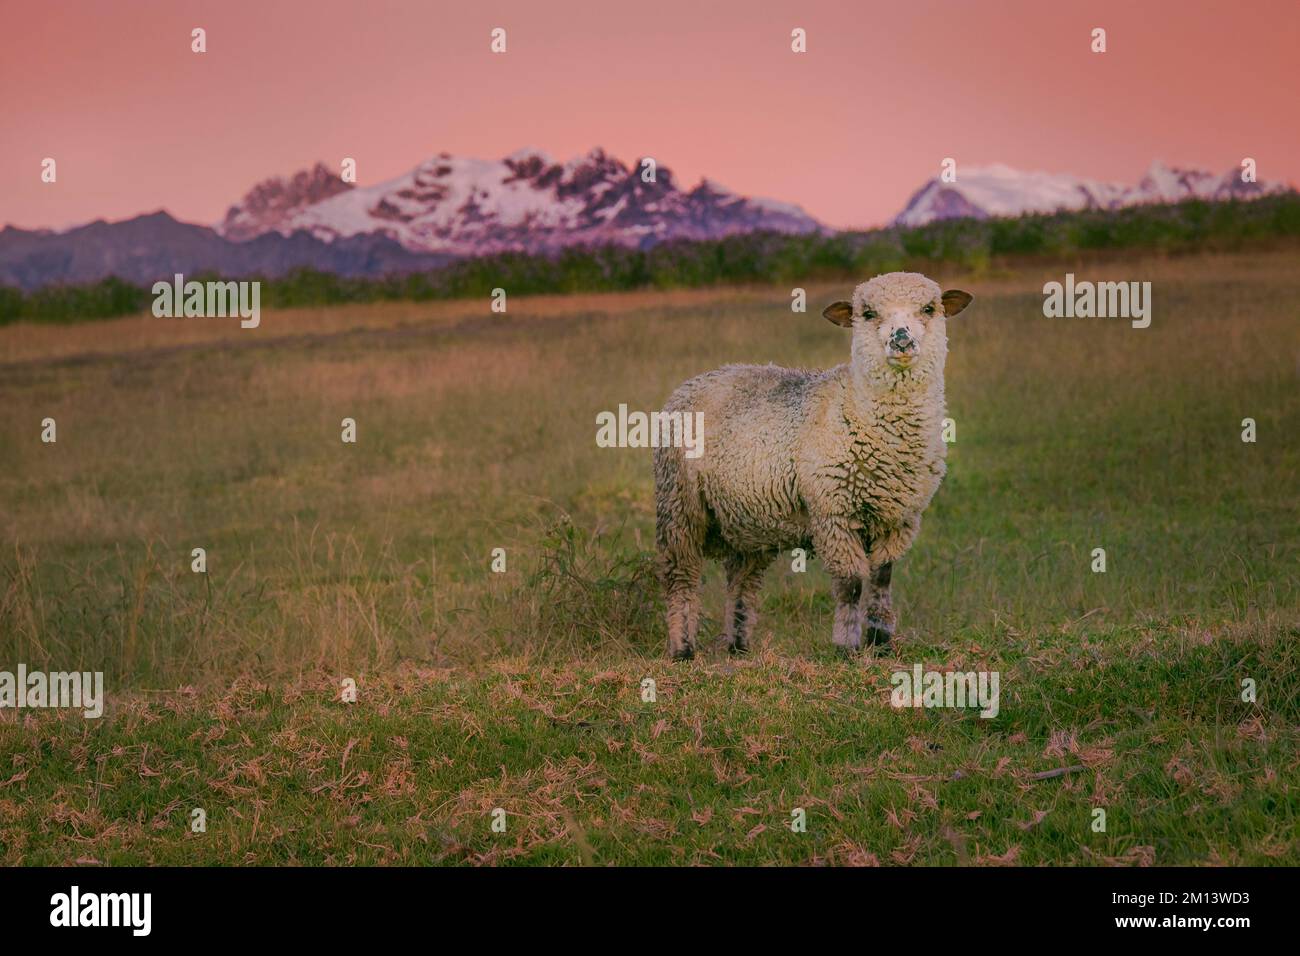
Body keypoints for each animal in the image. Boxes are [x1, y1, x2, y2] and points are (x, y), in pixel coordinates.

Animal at [653, 272, 973, 659]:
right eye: (868, 313)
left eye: (929, 308)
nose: (901, 340)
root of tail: (704, 376)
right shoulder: (834, 513)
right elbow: (851, 584)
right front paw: (847, 645)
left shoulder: (899, 518)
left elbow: (883, 578)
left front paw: (880, 641)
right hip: (679, 504)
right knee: (680, 577)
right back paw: (682, 648)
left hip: (747, 520)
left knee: (741, 581)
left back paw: (738, 646)